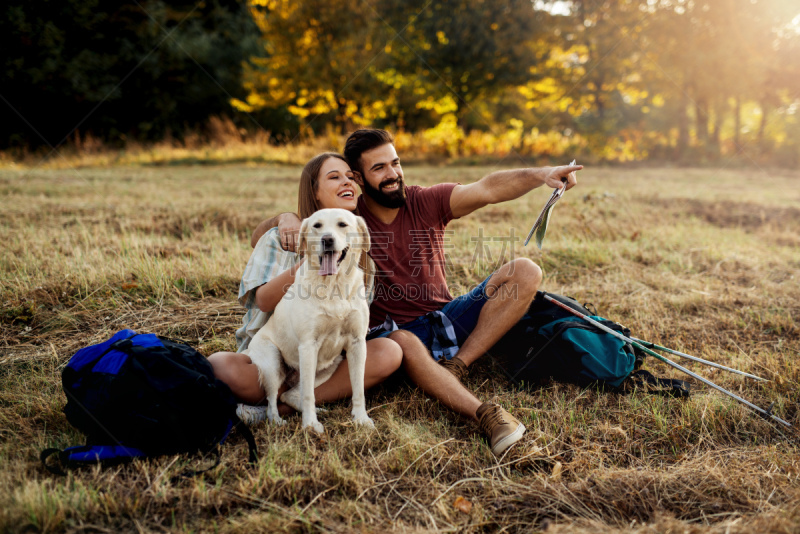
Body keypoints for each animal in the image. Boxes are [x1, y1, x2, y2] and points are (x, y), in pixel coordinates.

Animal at [247, 209, 376, 436]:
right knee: (273, 400)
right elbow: (308, 395)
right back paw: (278, 421)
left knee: (288, 395)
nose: (327, 239)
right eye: (317, 225)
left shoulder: (357, 343)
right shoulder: (308, 346)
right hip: (272, 364)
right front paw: (309, 425)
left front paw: (361, 419)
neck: (334, 284)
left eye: (342, 224)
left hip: (329, 366)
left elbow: (358, 388)